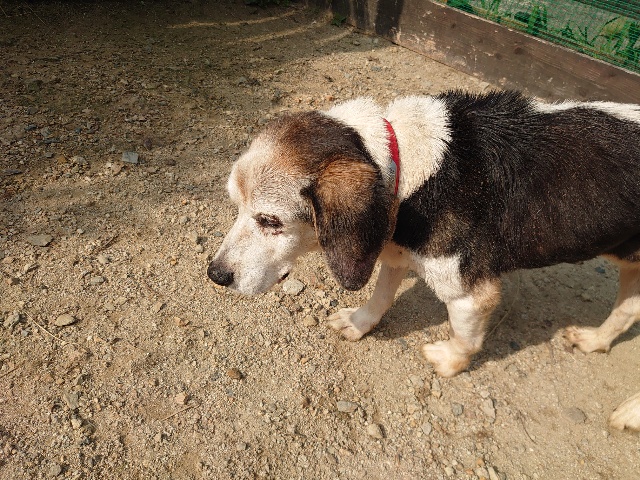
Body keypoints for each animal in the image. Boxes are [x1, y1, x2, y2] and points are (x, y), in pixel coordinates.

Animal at [207, 90, 640, 431]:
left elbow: (466, 335)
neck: (405, 161)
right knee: (627, 311)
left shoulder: (469, 293)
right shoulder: (394, 248)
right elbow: (380, 297)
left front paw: (450, 361)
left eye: (270, 221)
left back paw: (630, 413)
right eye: (235, 205)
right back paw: (595, 340)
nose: (215, 274)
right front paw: (359, 323)